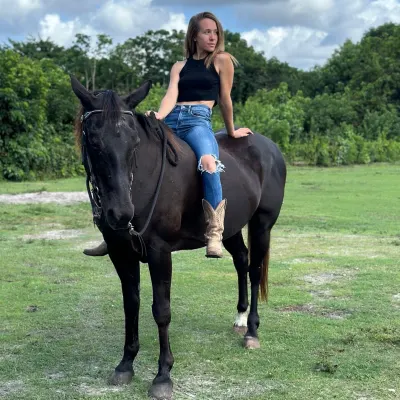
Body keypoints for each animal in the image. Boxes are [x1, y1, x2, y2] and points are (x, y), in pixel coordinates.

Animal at [70, 76, 286, 400]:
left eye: (134, 143)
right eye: (94, 142)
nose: (120, 213)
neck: (141, 181)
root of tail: (269, 147)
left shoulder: (159, 252)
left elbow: (161, 311)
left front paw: (163, 375)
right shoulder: (121, 253)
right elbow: (130, 304)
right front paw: (125, 364)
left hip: (262, 225)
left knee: (255, 269)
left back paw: (251, 331)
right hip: (231, 227)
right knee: (241, 260)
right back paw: (240, 318)